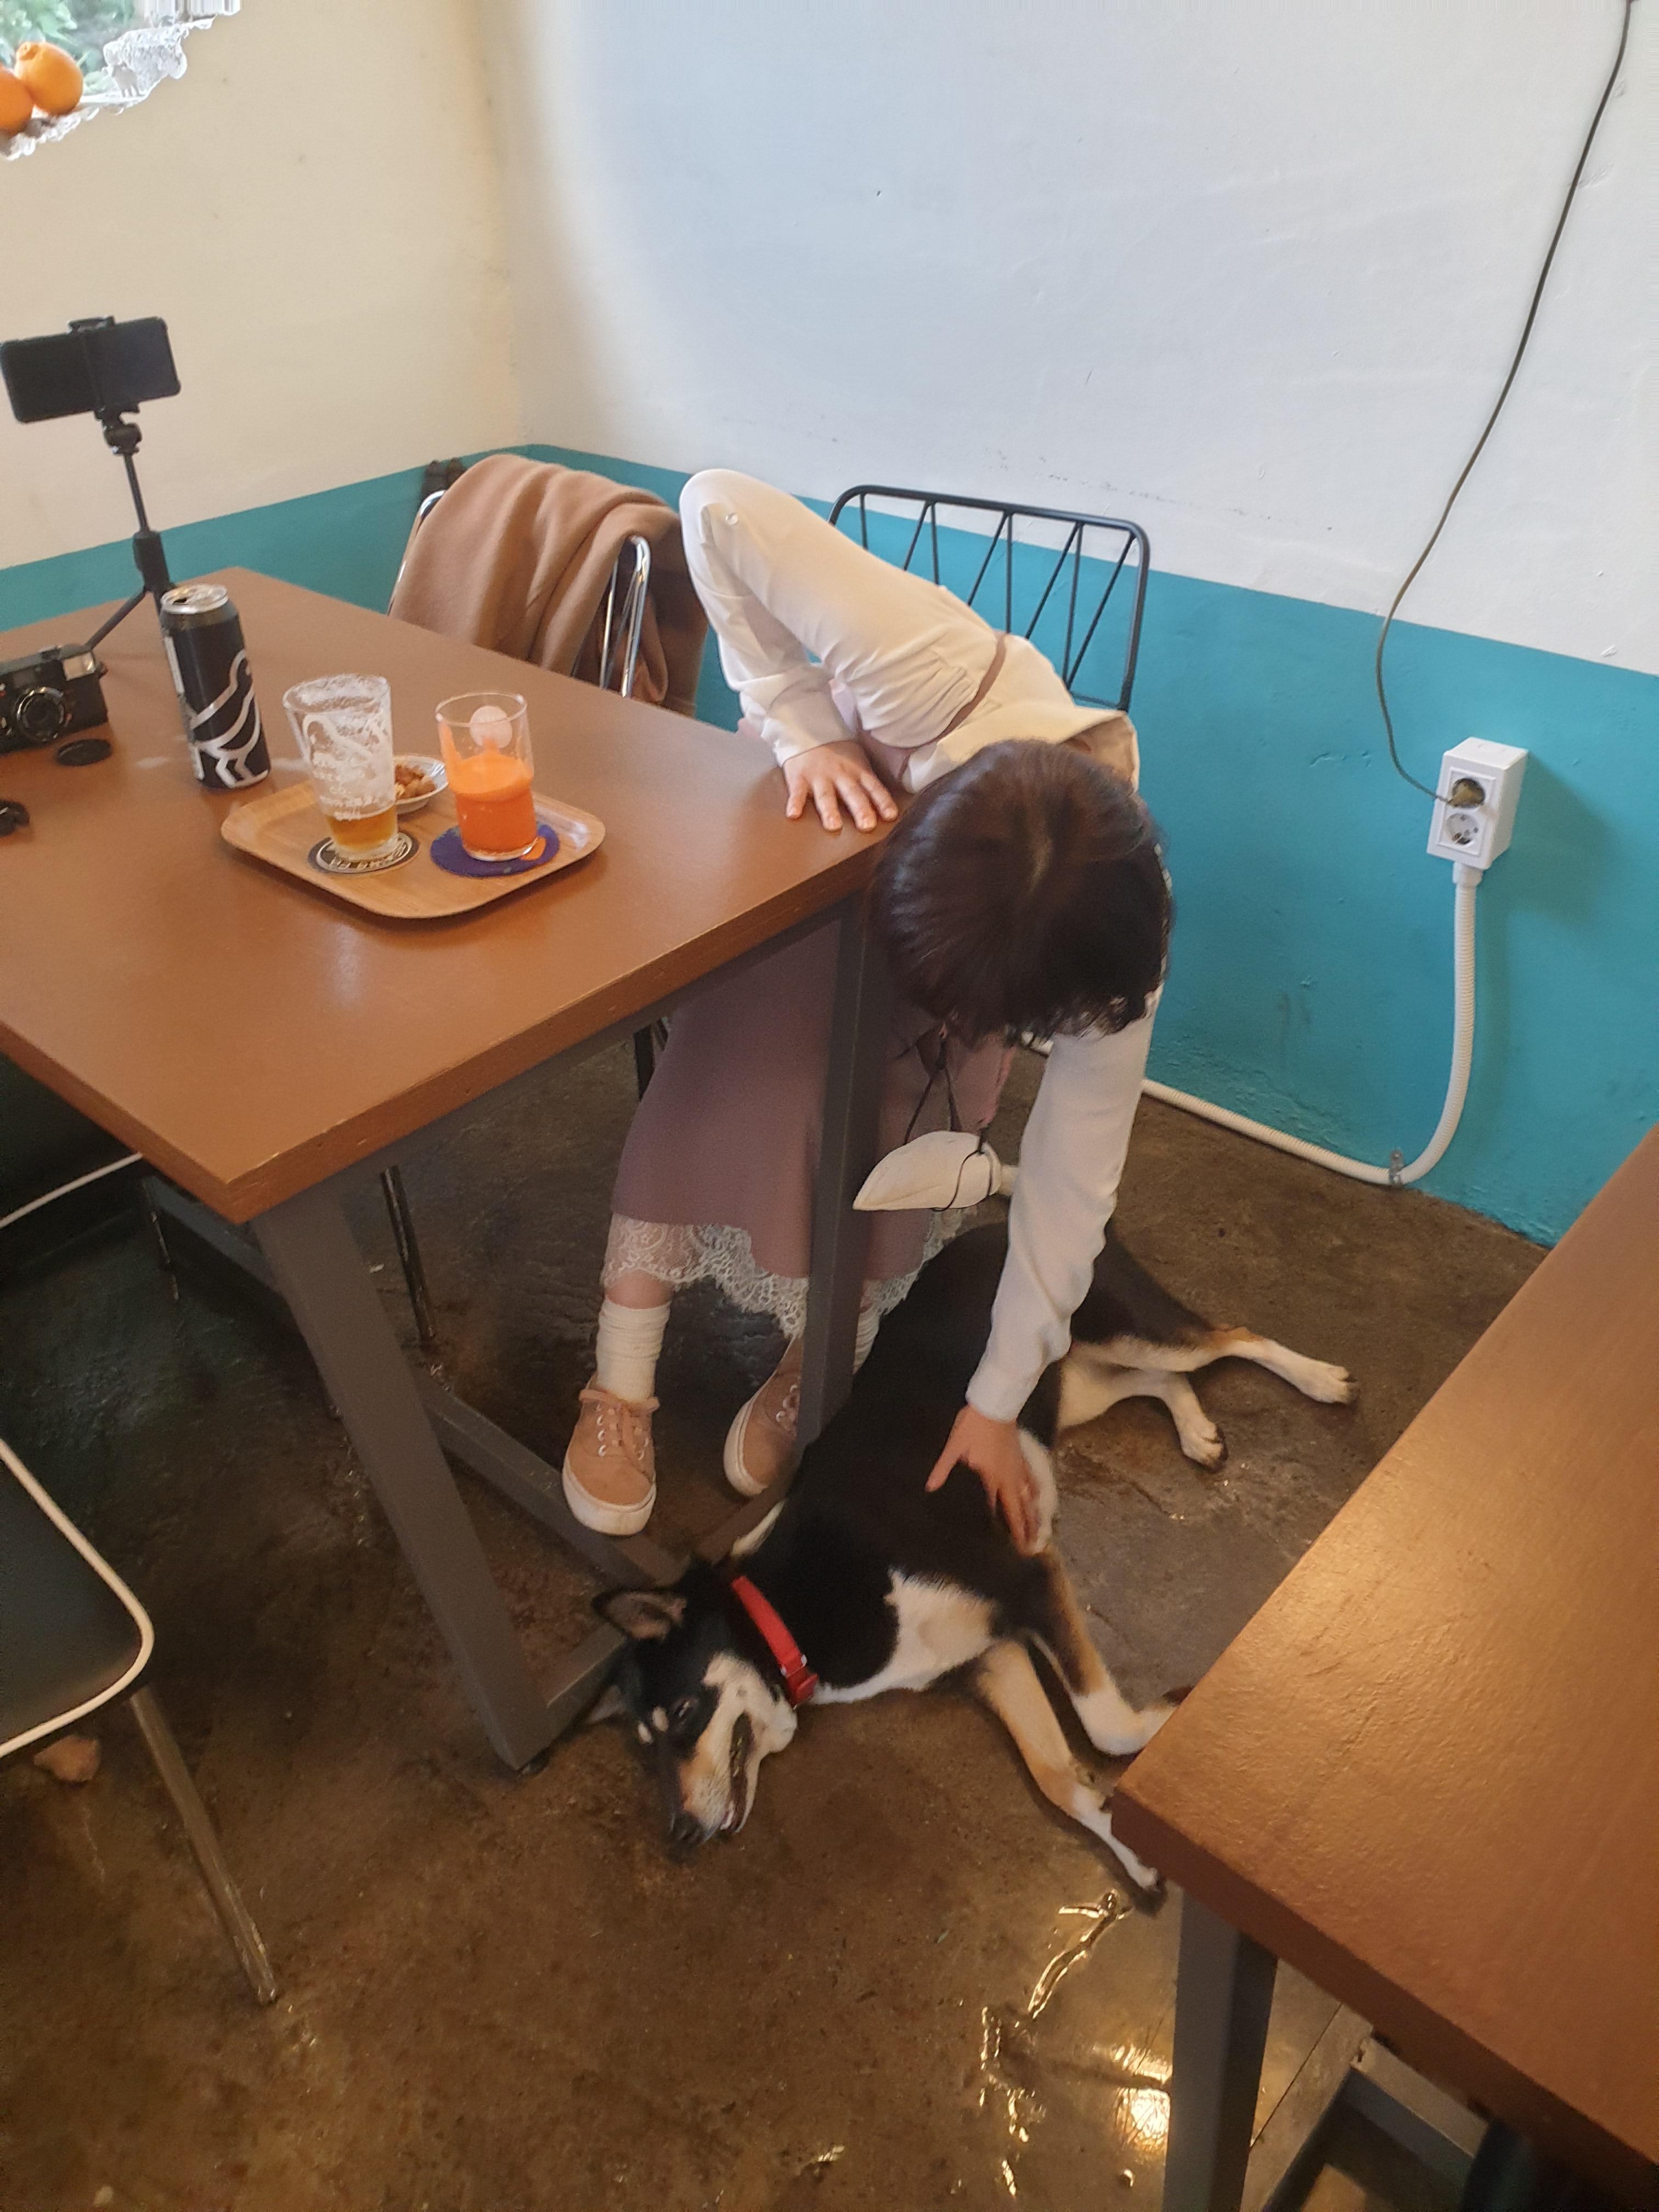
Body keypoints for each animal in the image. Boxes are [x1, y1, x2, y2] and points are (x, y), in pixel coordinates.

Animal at [594, 1220, 1353, 1892]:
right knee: (1159, 1382)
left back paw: (1322, 1380)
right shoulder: (991, 1657)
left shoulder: (1028, 1582)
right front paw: (1132, 1853)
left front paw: (1168, 1726)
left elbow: (1107, 1730)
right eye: (645, 1748)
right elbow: (1057, 1780)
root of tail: (1004, 1222)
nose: (680, 1835)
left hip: (1128, 1330)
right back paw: (1198, 1432)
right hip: (1071, 1391)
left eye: (682, 1715)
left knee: (1231, 1337)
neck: (781, 1615)